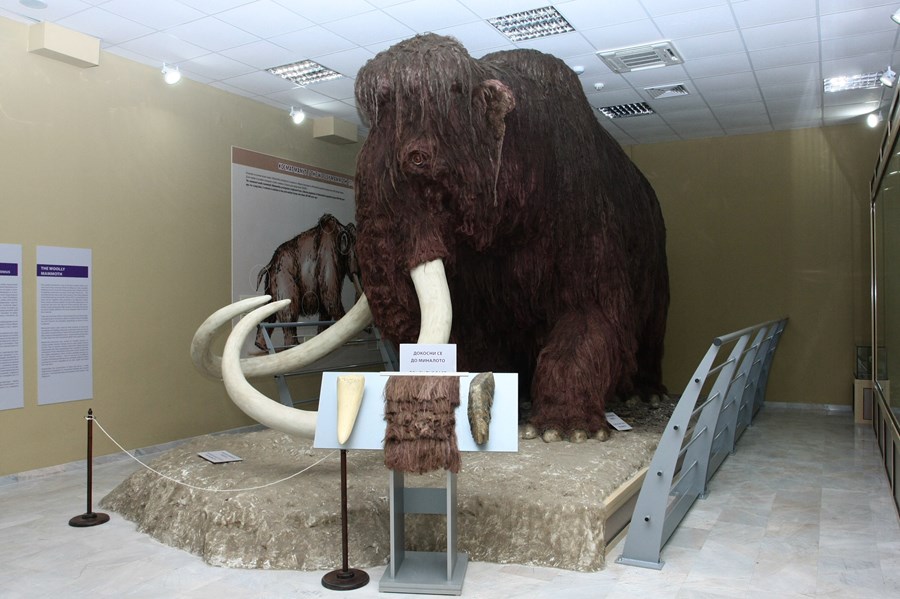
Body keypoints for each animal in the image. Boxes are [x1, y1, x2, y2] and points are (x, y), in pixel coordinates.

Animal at [253, 213, 362, 350]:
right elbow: (330, 299)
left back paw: (261, 346)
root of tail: (270, 262)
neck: (341, 228)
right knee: (289, 311)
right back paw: (293, 347)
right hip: (284, 277)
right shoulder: (328, 255)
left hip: (271, 281)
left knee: (270, 308)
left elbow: (326, 309)